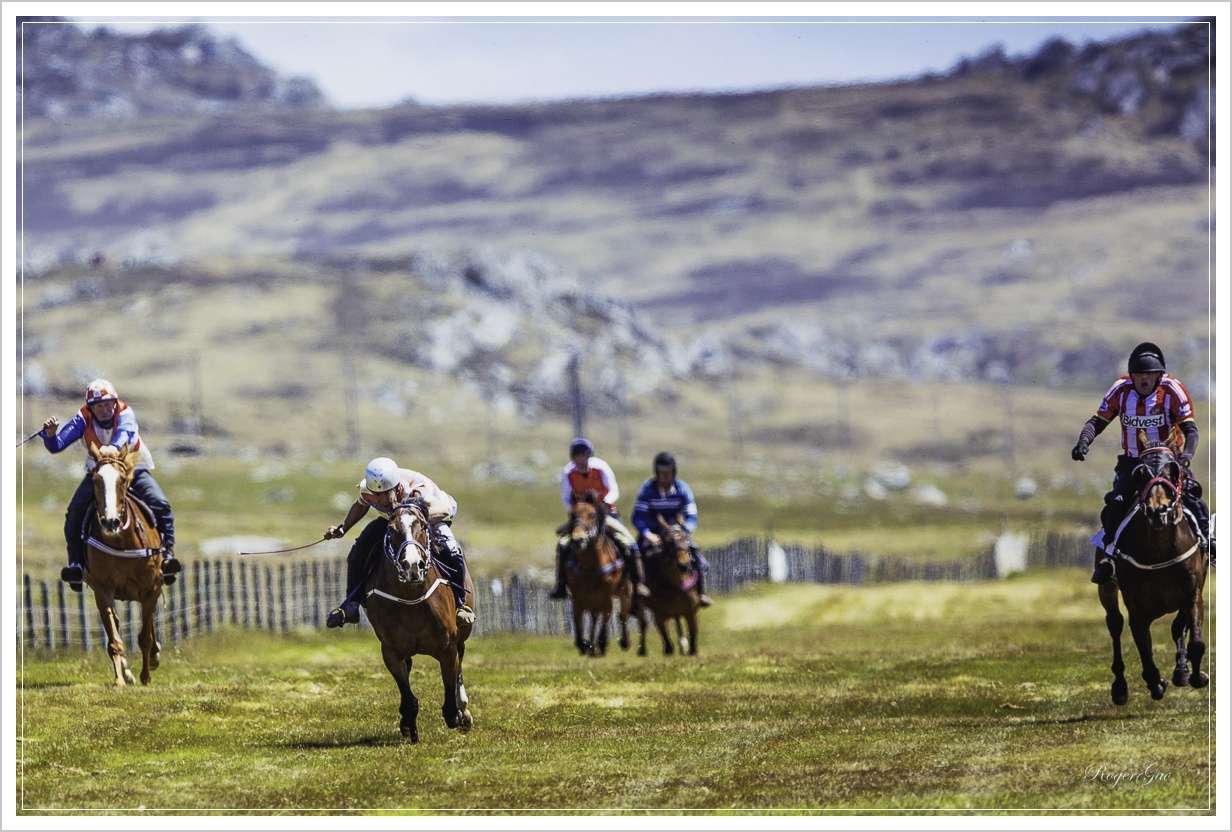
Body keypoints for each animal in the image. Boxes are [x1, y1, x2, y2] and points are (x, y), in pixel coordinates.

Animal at [83, 446, 166, 685]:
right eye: (95, 479)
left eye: (122, 480)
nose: (110, 522)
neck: (122, 543)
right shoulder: (102, 590)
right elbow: (114, 639)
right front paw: (120, 678)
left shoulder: (152, 589)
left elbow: (145, 637)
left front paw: (146, 676)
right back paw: (127, 672)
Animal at [362, 497, 473, 744]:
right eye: (391, 529)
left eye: (422, 526)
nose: (412, 566)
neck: (411, 598)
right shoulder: (391, 651)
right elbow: (408, 695)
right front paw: (409, 727)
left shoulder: (447, 648)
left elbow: (450, 689)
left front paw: (457, 715)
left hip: (461, 635)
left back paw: (464, 710)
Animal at [564, 495, 630, 655]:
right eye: (572, 515)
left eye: (592, 515)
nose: (578, 539)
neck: (592, 566)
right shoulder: (577, 600)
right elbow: (579, 632)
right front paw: (586, 645)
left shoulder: (608, 599)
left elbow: (604, 628)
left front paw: (601, 645)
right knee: (594, 618)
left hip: (625, 592)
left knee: (623, 615)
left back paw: (624, 641)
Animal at [635, 515, 704, 655]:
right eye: (668, 541)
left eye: (684, 537)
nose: (683, 564)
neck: (674, 585)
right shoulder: (659, 614)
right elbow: (666, 641)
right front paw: (670, 650)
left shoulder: (691, 612)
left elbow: (693, 634)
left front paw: (691, 650)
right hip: (640, 604)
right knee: (643, 623)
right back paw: (642, 650)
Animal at [1098, 428, 1212, 705]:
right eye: (1139, 474)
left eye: (1174, 470)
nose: (1157, 510)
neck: (1160, 552)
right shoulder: (1136, 609)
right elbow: (1145, 651)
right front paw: (1156, 683)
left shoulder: (1193, 591)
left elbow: (1193, 640)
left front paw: (1193, 675)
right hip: (1107, 588)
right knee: (1115, 624)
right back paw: (1120, 687)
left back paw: (1181, 671)